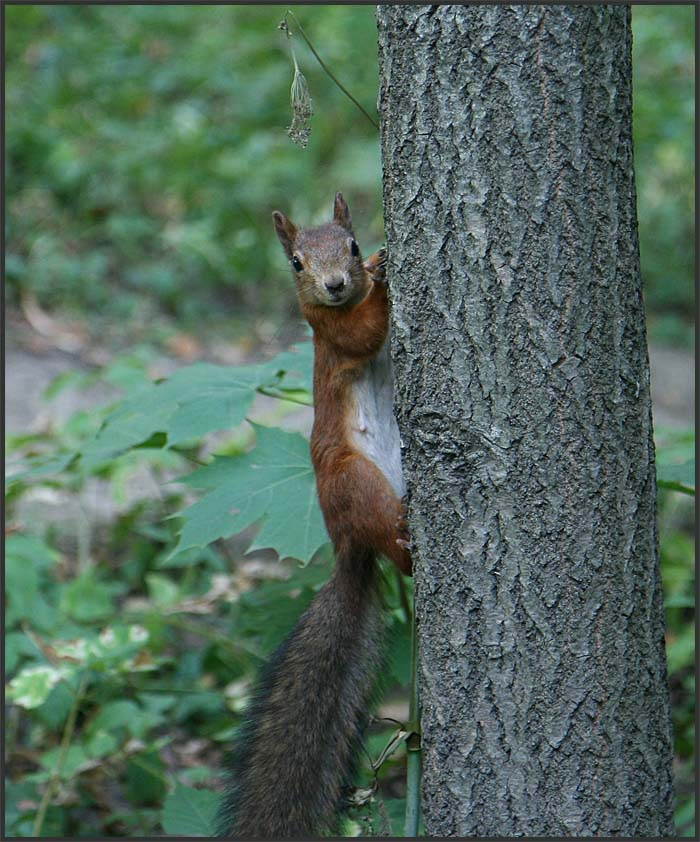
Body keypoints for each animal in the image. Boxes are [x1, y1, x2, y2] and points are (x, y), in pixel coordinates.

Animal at [216, 193, 411, 839]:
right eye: (296, 263)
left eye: (350, 244)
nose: (335, 284)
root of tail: (348, 543)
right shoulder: (332, 335)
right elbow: (365, 331)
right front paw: (386, 279)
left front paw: (379, 262)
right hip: (356, 485)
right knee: (396, 547)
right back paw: (410, 542)